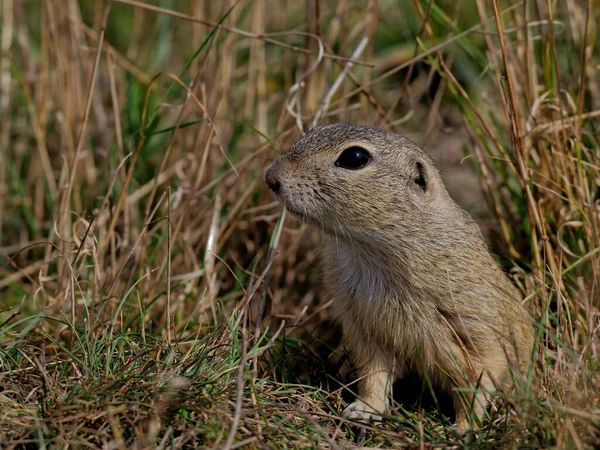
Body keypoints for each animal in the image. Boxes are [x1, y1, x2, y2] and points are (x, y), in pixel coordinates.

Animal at [264, 122, 536, 428]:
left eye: (355, 157)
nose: (270, 176)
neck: (371, 249)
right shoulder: (364, 330)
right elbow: (374, 375)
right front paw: (364, 410)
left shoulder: (474, 331)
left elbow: (477, 383)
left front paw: (464, 428)